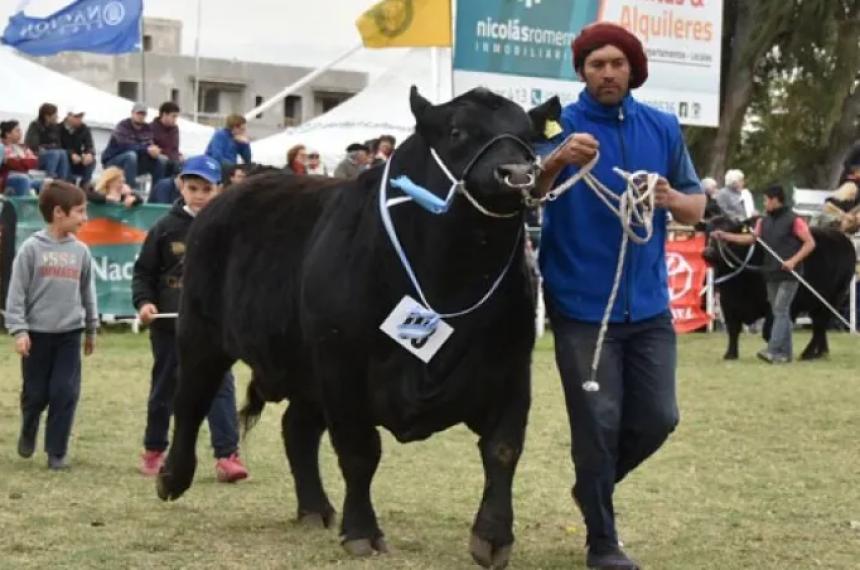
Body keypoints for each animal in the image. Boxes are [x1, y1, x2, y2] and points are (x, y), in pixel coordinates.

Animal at [158, 86, 560, 564]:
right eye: (456, 131)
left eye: (529, 138)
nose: (517, 173)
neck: (450, 281)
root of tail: (236, 190)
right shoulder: (342, 366)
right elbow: (359, 452)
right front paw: (362, 532)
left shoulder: (512, 366)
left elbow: (503, 448)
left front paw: (493, 537)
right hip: (200, 334)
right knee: (189, 401)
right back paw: (171, 477)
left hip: (303, 367)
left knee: (296, 428)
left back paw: (315, 508)